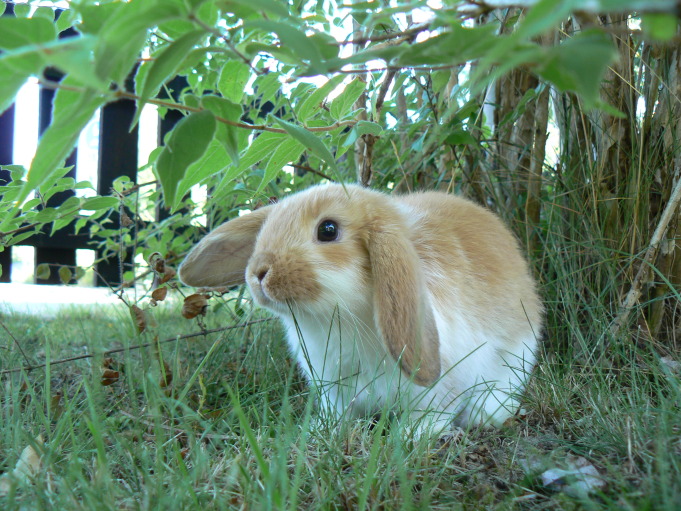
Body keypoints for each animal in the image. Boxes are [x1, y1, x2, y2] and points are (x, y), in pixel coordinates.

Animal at [179, 184, 540, 436]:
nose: (258, 273)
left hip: (515, 361)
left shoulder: (443, 385)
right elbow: (338, 414)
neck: (338, 319)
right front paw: (321, 430)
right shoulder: (332, 388)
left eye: (328, 230)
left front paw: (411, 436)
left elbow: (434, 412)